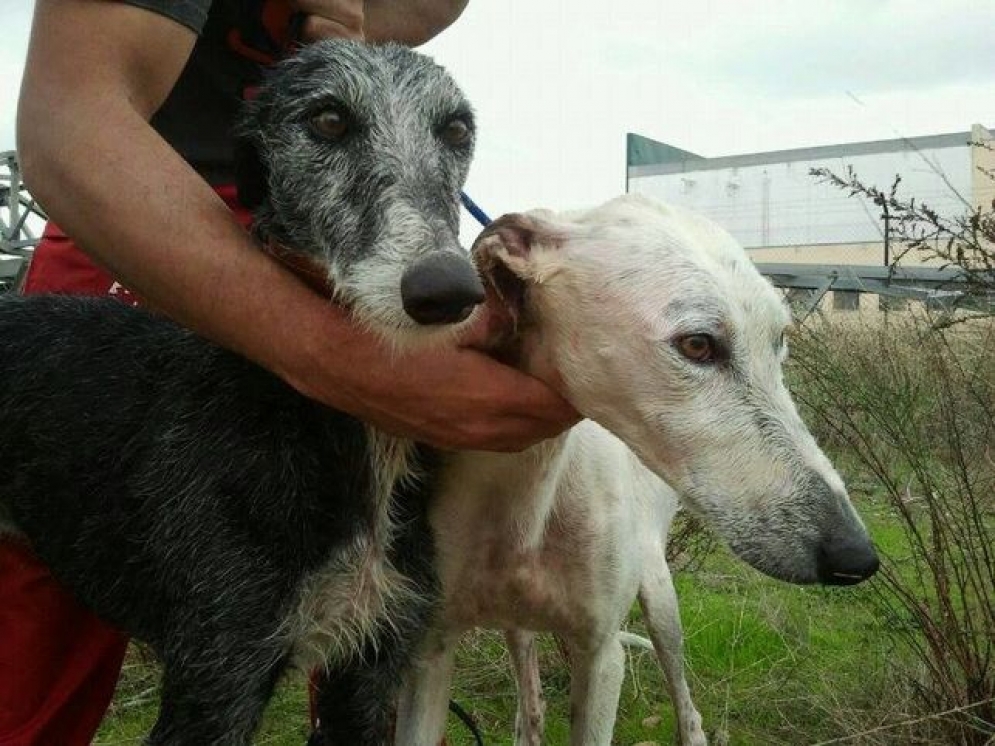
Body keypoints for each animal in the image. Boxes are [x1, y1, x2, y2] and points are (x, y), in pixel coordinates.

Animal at [392, 193, 876, 744]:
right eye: (697, 344)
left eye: (779, 342)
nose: (857, 556)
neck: (529, 489)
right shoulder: (430, 652)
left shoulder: (603, 656)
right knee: (531, 700)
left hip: (660, 597)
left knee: (686, 703)